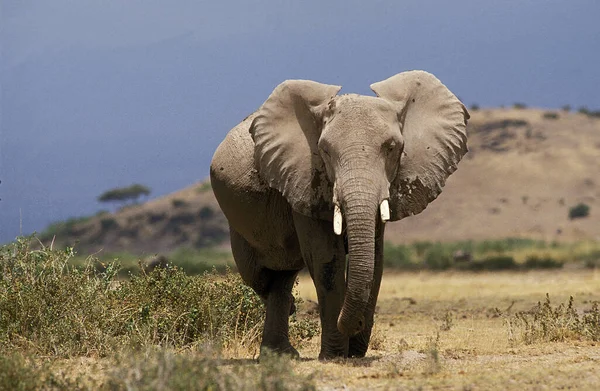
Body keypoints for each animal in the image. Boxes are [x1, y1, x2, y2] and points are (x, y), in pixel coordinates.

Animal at [211, 71, 468, 362]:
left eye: (392, 148)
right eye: (325, 150)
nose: (355, 328)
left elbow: (376, 259)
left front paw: (354, 353)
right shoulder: (304, 179)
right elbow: (326, 259)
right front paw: (334, 356)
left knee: (281, 279)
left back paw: (282, 354)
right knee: (261, 276)